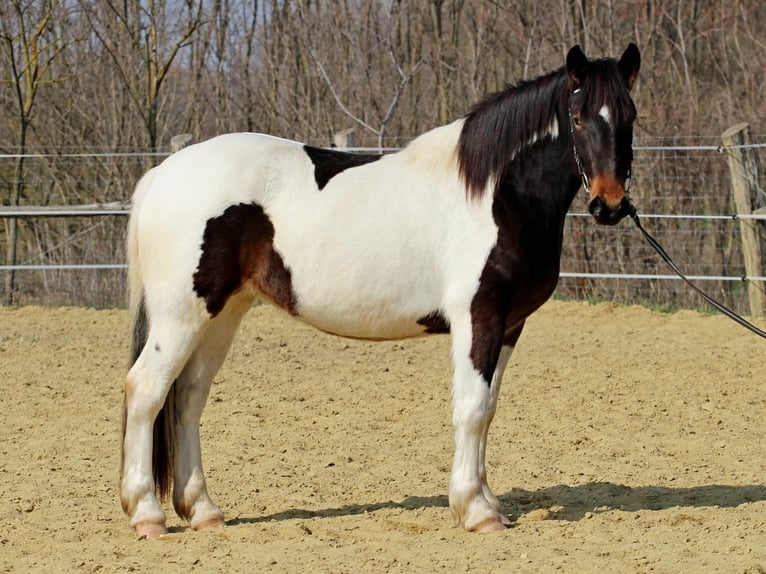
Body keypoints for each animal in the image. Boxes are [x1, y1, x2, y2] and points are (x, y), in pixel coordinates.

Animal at [121, 43, 640, 538]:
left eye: (631, 115)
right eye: (578, 117)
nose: (610, 204)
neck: (495, 194)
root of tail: (162, 175)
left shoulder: (510, 325)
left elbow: (489, 408)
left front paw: (489, 503)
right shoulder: (479, 318)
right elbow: (471, 409)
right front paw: (475, 512)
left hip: (221, 315)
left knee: (188, 398)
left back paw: (203, 511)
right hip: (180, 317)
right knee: (146, 390)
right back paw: (146, 514)